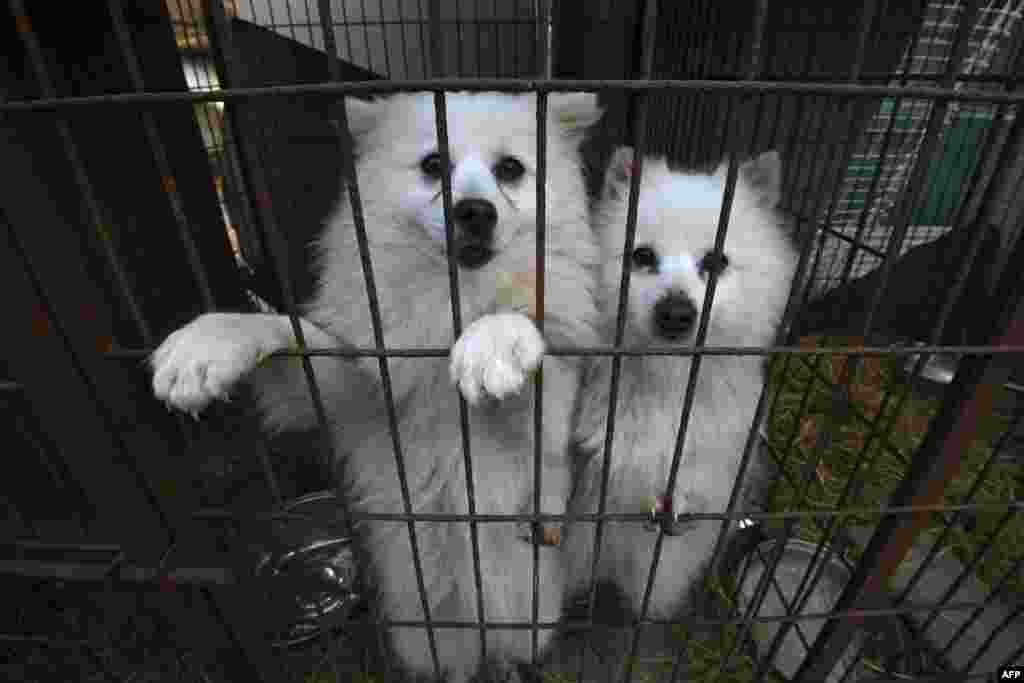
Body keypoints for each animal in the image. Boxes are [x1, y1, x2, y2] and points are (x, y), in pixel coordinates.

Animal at [149, 92, 598, 683]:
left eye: (511, 169)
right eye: (433, 164)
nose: (475, 211)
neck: (456, 298)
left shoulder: (545, 423)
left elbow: (527, 341)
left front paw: (495, 340)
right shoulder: (360, 388)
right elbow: (289, 332)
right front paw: (210, 341)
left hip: (522, 610)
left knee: (508, 648)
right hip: (425, 630)